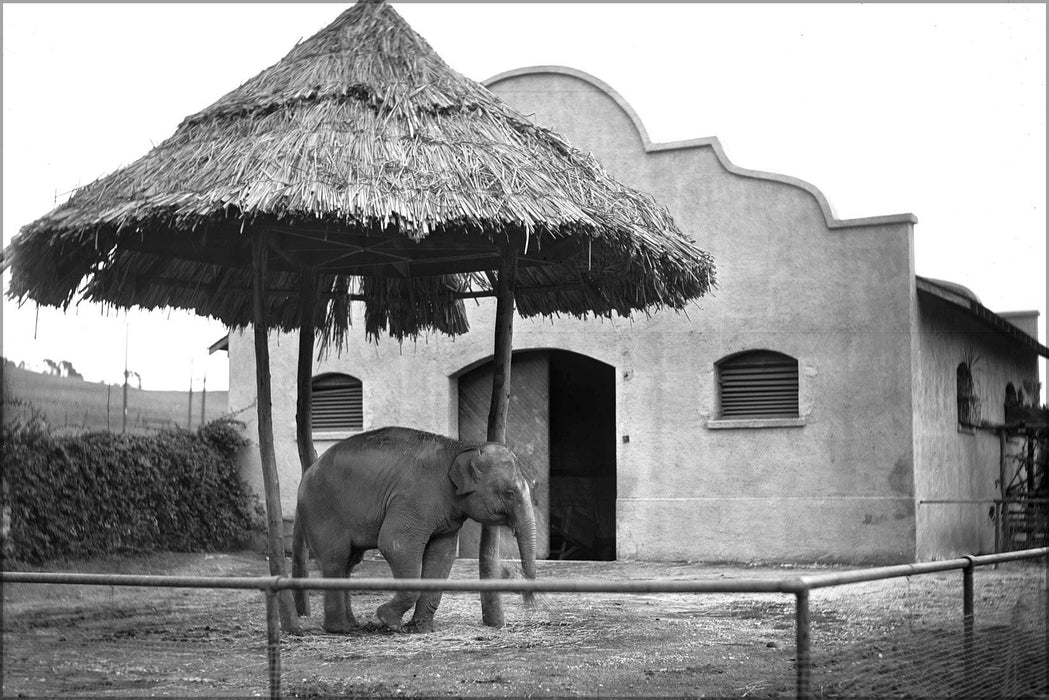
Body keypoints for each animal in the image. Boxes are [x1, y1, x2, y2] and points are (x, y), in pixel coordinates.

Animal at [291, 423, 537, 633]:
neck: (461, 447)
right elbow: (395, 545)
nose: (529, 606)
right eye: (509, 493)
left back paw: (351, 625)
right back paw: (340, 629)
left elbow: (441, 556)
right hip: (320, 511)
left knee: (350, 562)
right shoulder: (414, 498)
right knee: (336, 558)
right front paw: (384, 620)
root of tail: (308, 471)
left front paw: (421, 629)